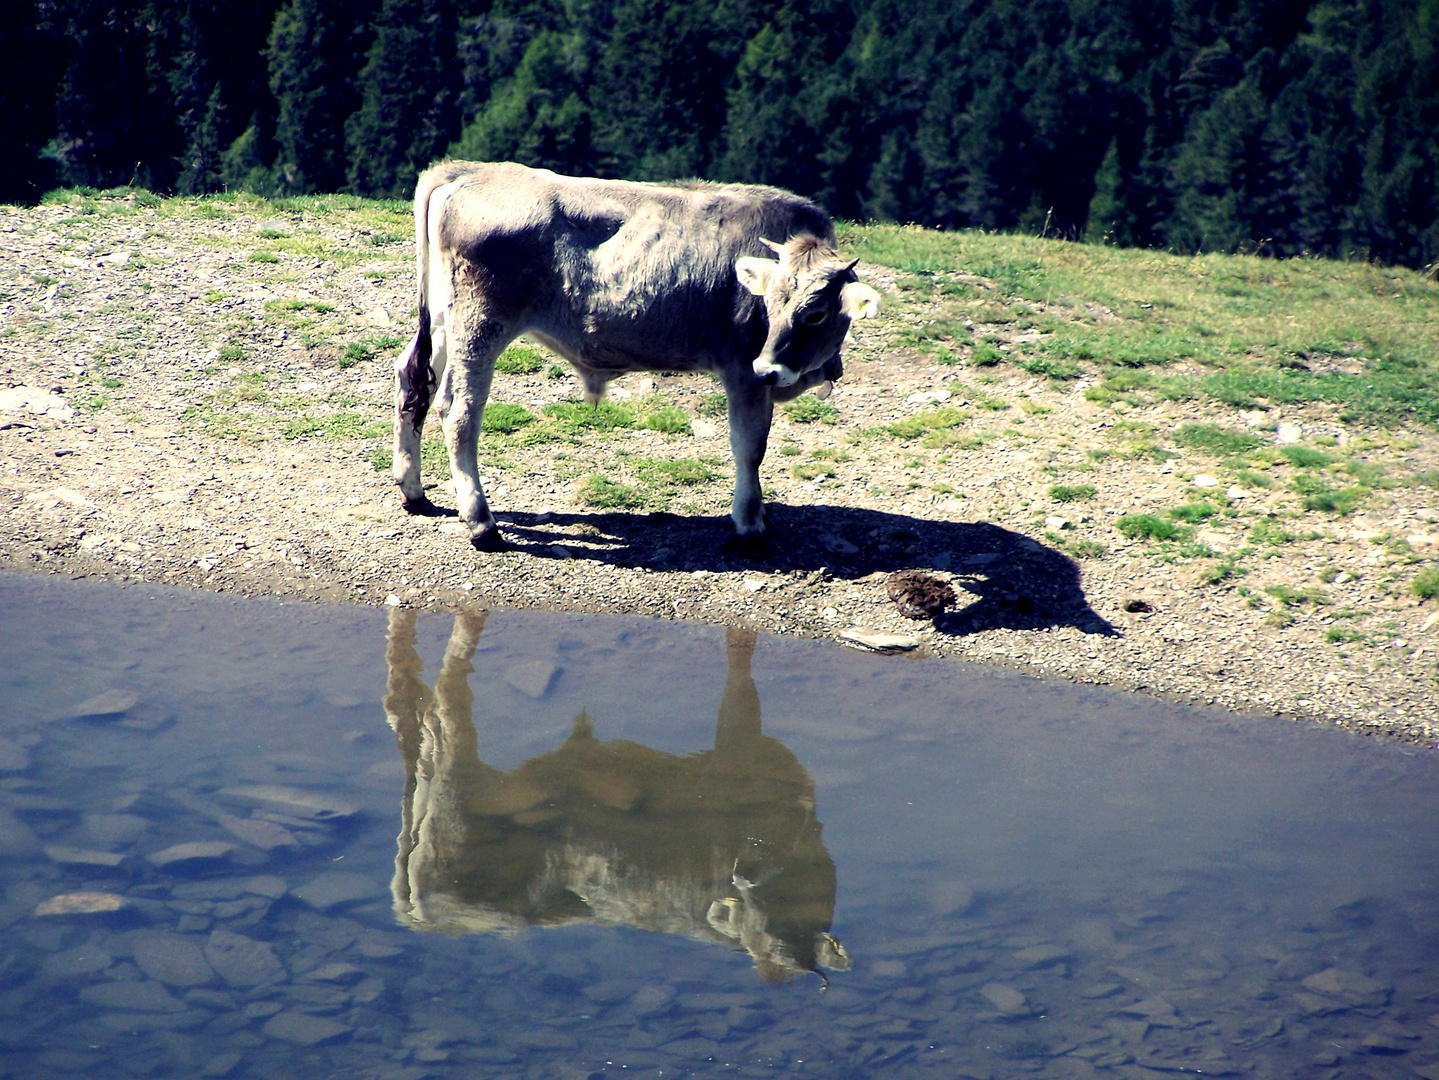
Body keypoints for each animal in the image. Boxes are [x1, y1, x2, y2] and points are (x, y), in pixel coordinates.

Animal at [385, 609, 851, 989]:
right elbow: (740, 681)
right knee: (447, 700)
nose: (744, 876)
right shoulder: (739, 747)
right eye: (751, 918)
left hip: (428, 788)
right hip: (456, 796)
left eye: (778, 933)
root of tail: (425, 915)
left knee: (411, 708)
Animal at [391, 160, 874, 549]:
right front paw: (749, 525)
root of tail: (469, 170)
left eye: (814, 313)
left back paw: (413, 490)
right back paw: (481, 524)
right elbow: (749, 447)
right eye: (769, 303)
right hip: (480, 325)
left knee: (413, 383)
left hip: (443, 321)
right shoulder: (742, 371)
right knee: (459, 413)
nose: (769, 366)